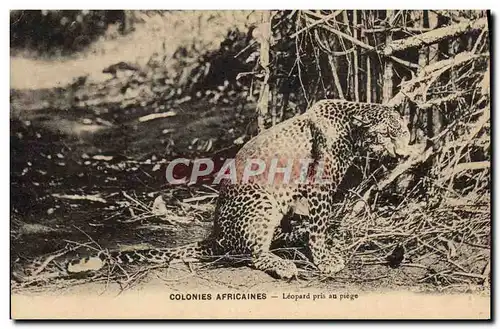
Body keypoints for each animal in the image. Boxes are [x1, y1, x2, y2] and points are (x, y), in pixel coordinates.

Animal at [66, 98, 410, 278]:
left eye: (404, 132)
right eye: (386, 135)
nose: (403, 152)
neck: (351, 125)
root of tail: (215, 234)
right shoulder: (319, 187)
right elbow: (319, 226)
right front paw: (324, 259)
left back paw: (288, 241)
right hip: (262, 201)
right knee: (251, 253)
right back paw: (282, 264)